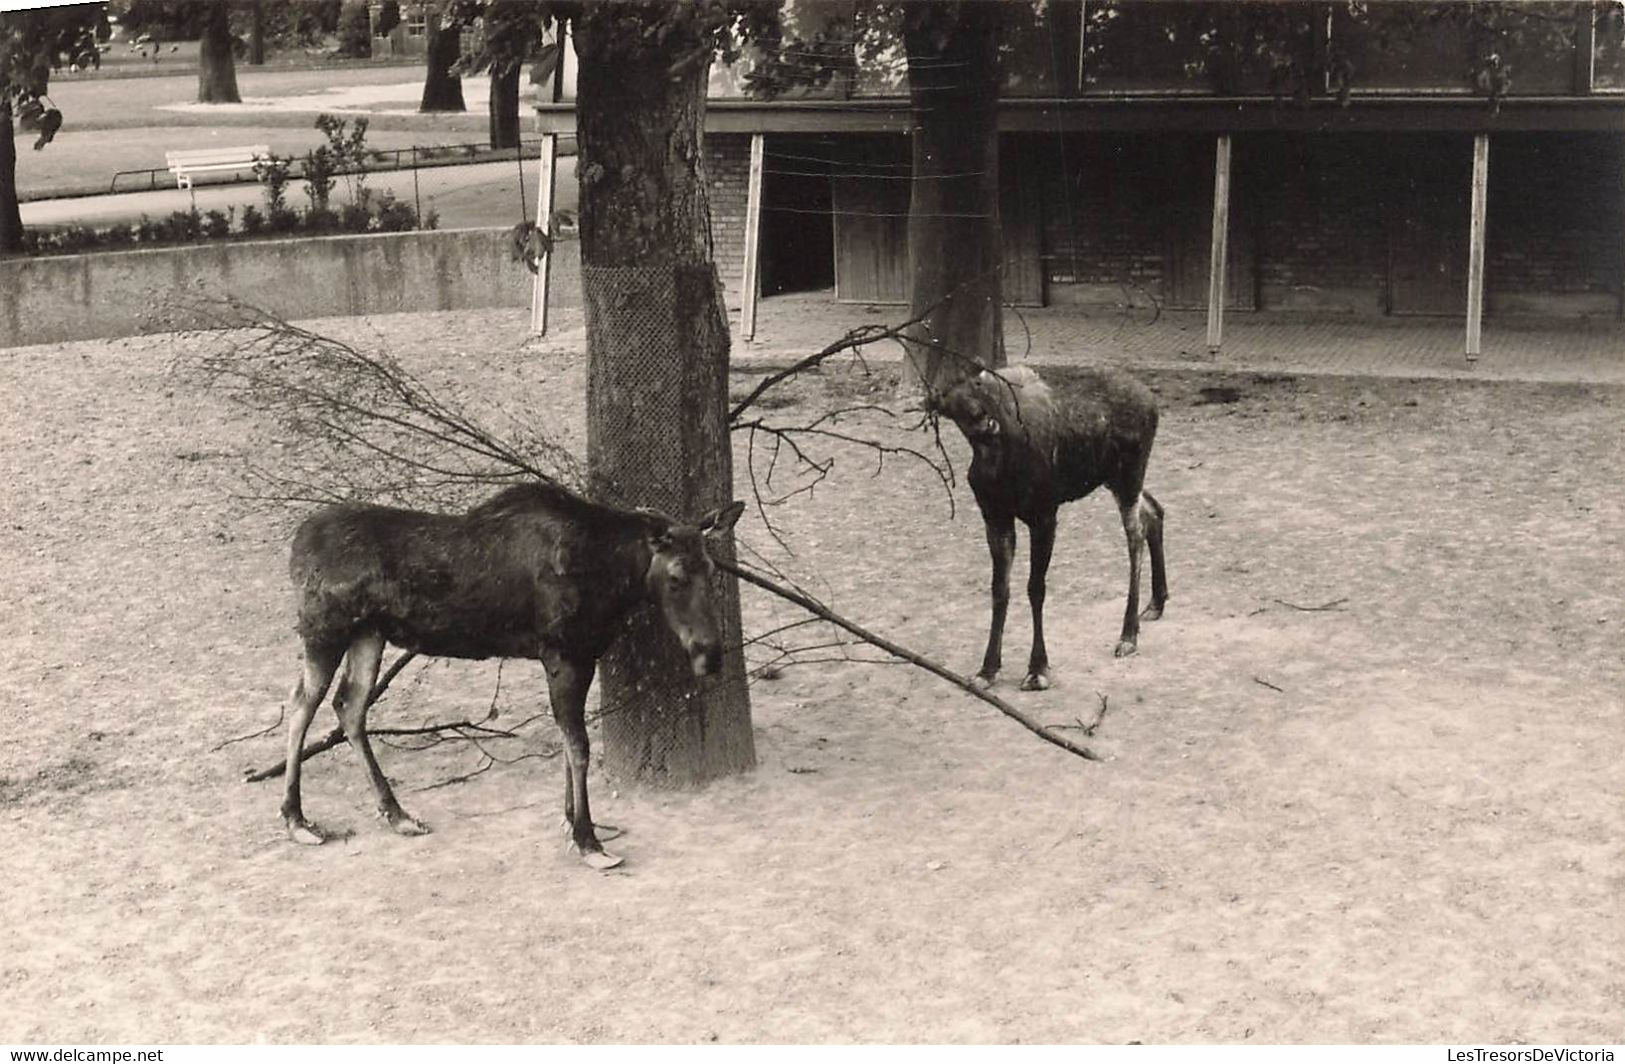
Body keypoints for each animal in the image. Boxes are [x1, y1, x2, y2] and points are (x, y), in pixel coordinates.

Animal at [281, 484, 747, 877]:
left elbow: (570, 742)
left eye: (710, 567)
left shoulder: (578, 657)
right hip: (324, 630)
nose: (710, 654)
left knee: (348, 705)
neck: (611, 580)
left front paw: (571, 822)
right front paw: (587, 839)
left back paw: (397, 814)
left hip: (369, 633)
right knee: (303, 703)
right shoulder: (564, 654)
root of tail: (296, 544)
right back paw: (296, 818)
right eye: (676, 576)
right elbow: (579, 746)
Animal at [929, 367, 1170, 692]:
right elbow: (999, 589)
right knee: (1154, 511)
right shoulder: (995, 518)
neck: (996, 463)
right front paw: (987, 669)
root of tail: (1152, 401)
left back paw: (1128, 634)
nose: (984, 420)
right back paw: (1156, 603)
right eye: (951, 401)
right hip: (1113, 479)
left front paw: (1037, 669)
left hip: (1129, 474)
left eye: (980, 386)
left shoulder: (1044, 515)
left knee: (1136, 534)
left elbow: (1036, 588)